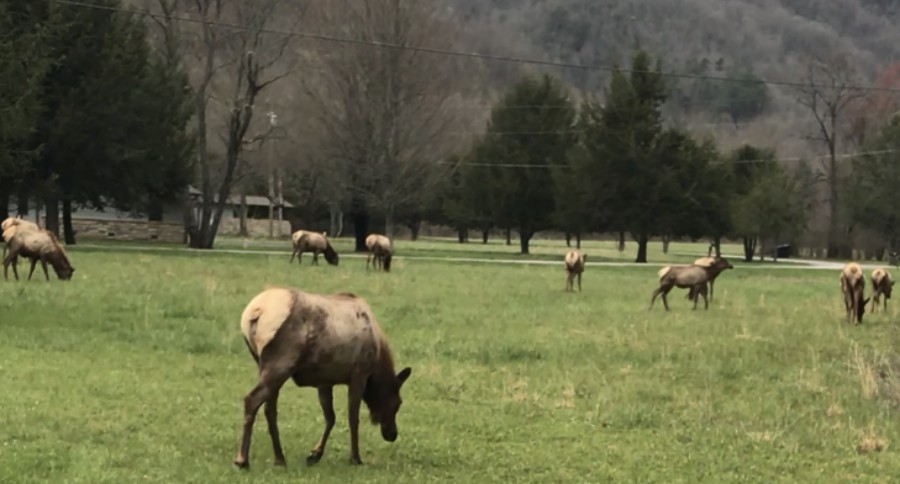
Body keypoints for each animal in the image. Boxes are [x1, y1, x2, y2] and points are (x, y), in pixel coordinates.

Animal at [234, 288, 414, 468]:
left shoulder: (325, 381)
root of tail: (255, 312)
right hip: (280, 365)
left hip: (264, 366)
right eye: (398, 403)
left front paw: (315, 454)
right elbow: (353, 419)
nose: (392, 434)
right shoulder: (359, 374)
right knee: (252, 400)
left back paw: (279, 458)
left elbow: (330, 418)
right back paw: (242, 460)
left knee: (270, 409)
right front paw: (355, 458)